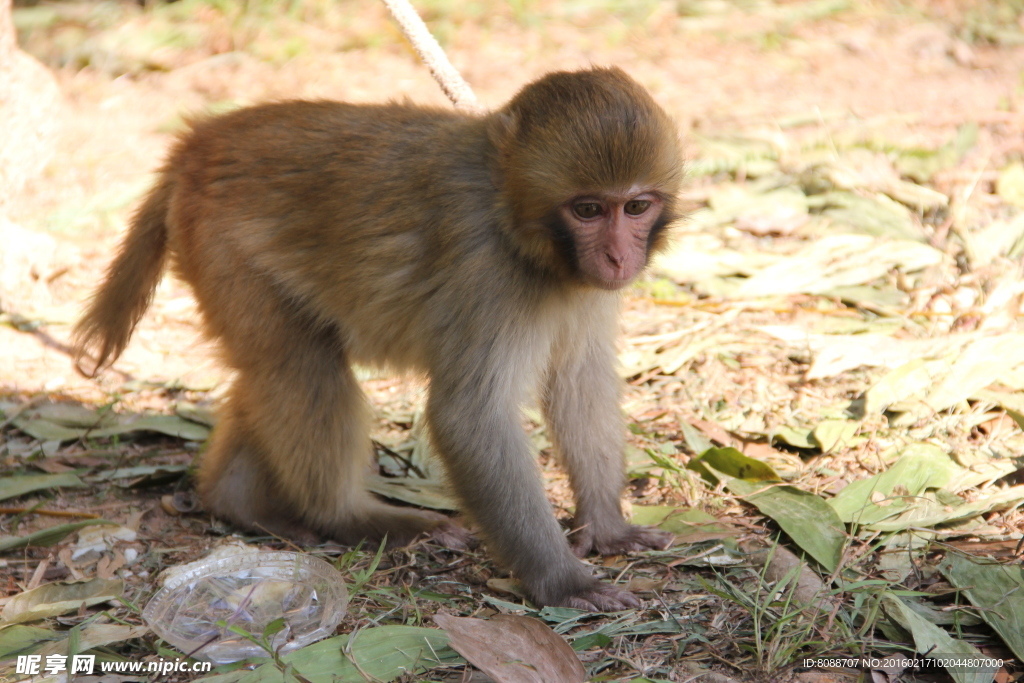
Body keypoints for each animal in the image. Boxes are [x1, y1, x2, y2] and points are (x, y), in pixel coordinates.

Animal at [72, 65, 679, 610]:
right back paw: (348, 516)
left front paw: (607, 526)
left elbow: (579, 384)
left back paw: (238, 502)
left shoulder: (582, 291)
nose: (618, 257)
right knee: (301, 367)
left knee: (271, 370)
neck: (511, 210)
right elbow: (470, 417)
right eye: (588, 209)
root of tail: (199, 142)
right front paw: (560, 580)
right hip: (222, 245)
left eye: (636, 206)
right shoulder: (487, 272)